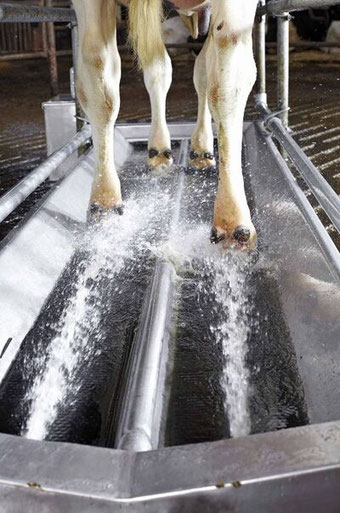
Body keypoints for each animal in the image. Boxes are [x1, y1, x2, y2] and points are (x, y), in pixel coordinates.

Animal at [71, 0, 258, 248]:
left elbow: (227, 79)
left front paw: (232, 218)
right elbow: (100, 71)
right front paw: (105, 199)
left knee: (204, 72)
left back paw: (201, 149)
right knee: (165, 69)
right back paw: (161, 149)